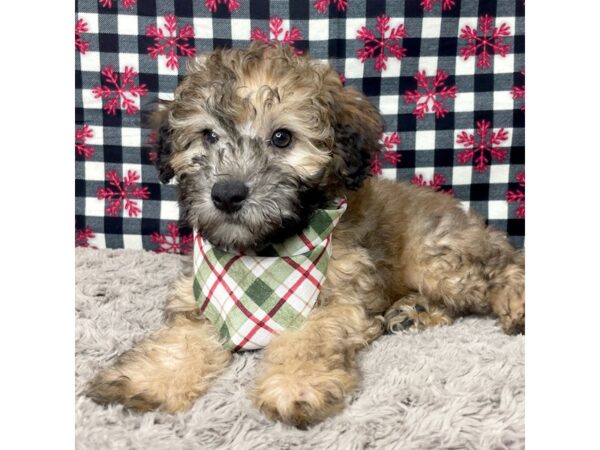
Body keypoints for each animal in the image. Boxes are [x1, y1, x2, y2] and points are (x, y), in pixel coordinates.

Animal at [88, 42, 524, 428]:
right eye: (208, 136)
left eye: (282, 138)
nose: (227, 194)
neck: (261, 254)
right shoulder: (199, 299)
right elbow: (182, 340)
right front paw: (149, 379)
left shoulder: (338, 300)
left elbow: (308, 339)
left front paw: (296, 386)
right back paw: (413, 310)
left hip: (438, 257)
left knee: (504, 270)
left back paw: (511, 306)